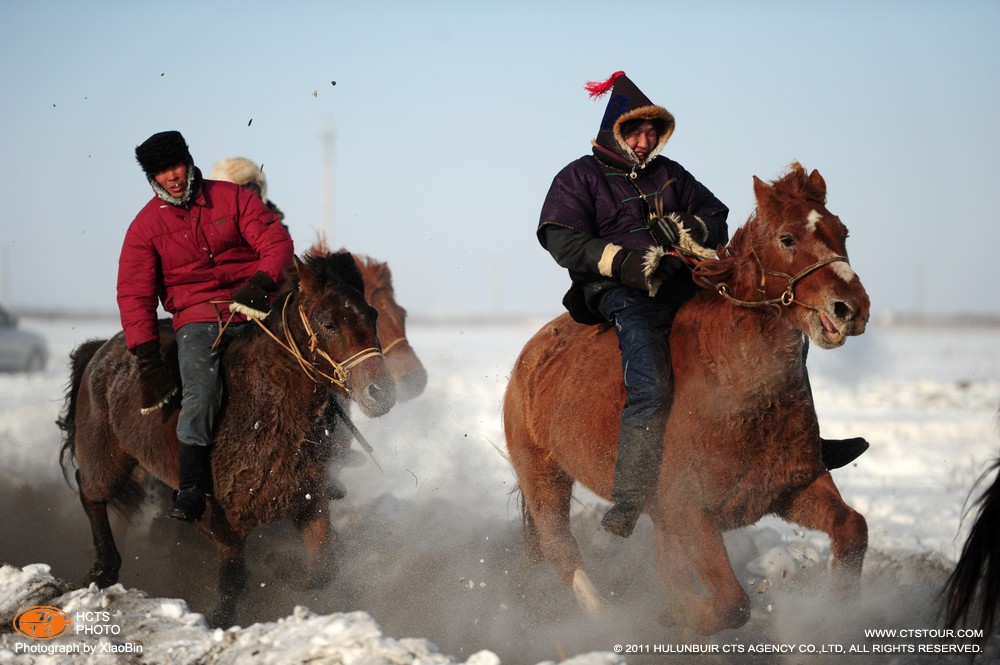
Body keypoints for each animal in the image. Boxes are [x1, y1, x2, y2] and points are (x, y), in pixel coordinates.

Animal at [56, 252, 394, 624]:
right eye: (328, 323)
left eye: (372, 315)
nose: (381, 392)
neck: (264, 412)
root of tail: (99, 350)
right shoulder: (225, 523)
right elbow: (233, 581)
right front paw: (220, 618)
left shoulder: (308, 503)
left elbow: (323, 567)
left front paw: (278, 565)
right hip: (107, 457)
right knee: (90, 492)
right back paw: (103, 570)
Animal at [504, 161, 872, 632]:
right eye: (787, 238)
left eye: (842, 231)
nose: (852, 308)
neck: (737, 392)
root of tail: (531, 356)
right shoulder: (689, 514)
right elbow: (733, 603)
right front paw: (677, 613)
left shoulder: (794, 487)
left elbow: (853, 528)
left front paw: (842, 611)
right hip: (544, 476)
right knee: (562, 553)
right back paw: (605, 619)